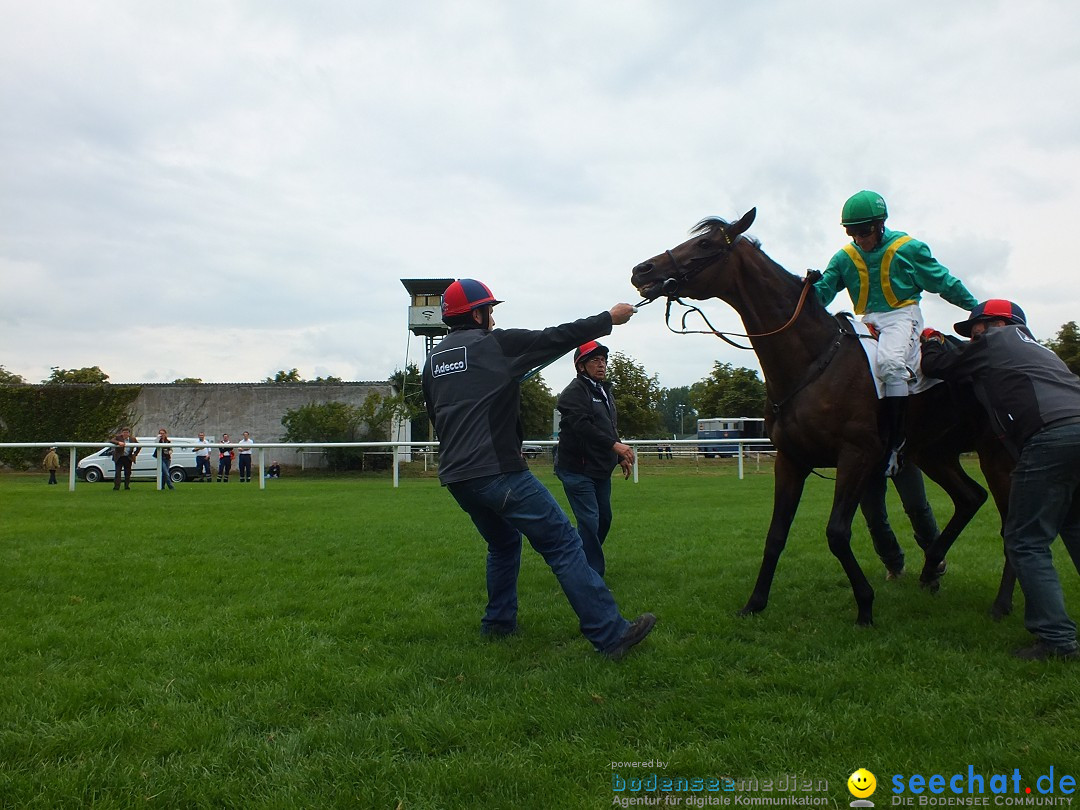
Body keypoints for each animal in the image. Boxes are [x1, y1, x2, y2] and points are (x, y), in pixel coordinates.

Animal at [630, 209, 1015, 626]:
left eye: (704, 243)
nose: (641, 269)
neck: (814, 362)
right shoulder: (790, 460)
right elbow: (776, 534)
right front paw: (755, 602)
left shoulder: (856, 456)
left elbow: (836, 533)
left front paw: (865, 604)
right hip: (933, 453)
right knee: (970, 497)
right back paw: (931, 569)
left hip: (997, 456)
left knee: (1011, 526)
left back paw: (999, 603)